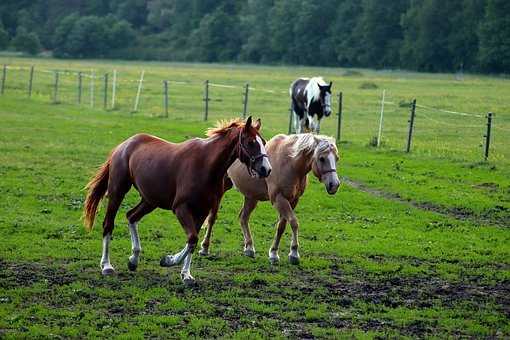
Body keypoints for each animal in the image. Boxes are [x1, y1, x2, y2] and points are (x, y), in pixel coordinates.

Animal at [83, 117, 270, 284]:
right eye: (251, 142)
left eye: (264, 141)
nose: (266, 169)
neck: (206, 165)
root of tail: (124, 145)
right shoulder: (181, 208)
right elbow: (192, 238)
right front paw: (169, 260)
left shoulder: (202, 211)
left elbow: (193, 242)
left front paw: (186, 275)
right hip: (118, 192)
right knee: (108, 224)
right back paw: (106, 266)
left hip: (150, 200)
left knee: (131, 216)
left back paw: (133, 259)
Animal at [199, 132, 338, 262]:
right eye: (321, 158)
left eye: (336, 158)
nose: (334, 185)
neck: (290, 164)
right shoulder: (279, 199)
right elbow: (294, 222)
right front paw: (293, 253)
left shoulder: (293, 200)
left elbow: (281, 226)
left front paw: (274, 253)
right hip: (221, 192)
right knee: (212, 218)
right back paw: (205, 247)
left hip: (251, 197)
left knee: (243, 218)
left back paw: (249, 247)